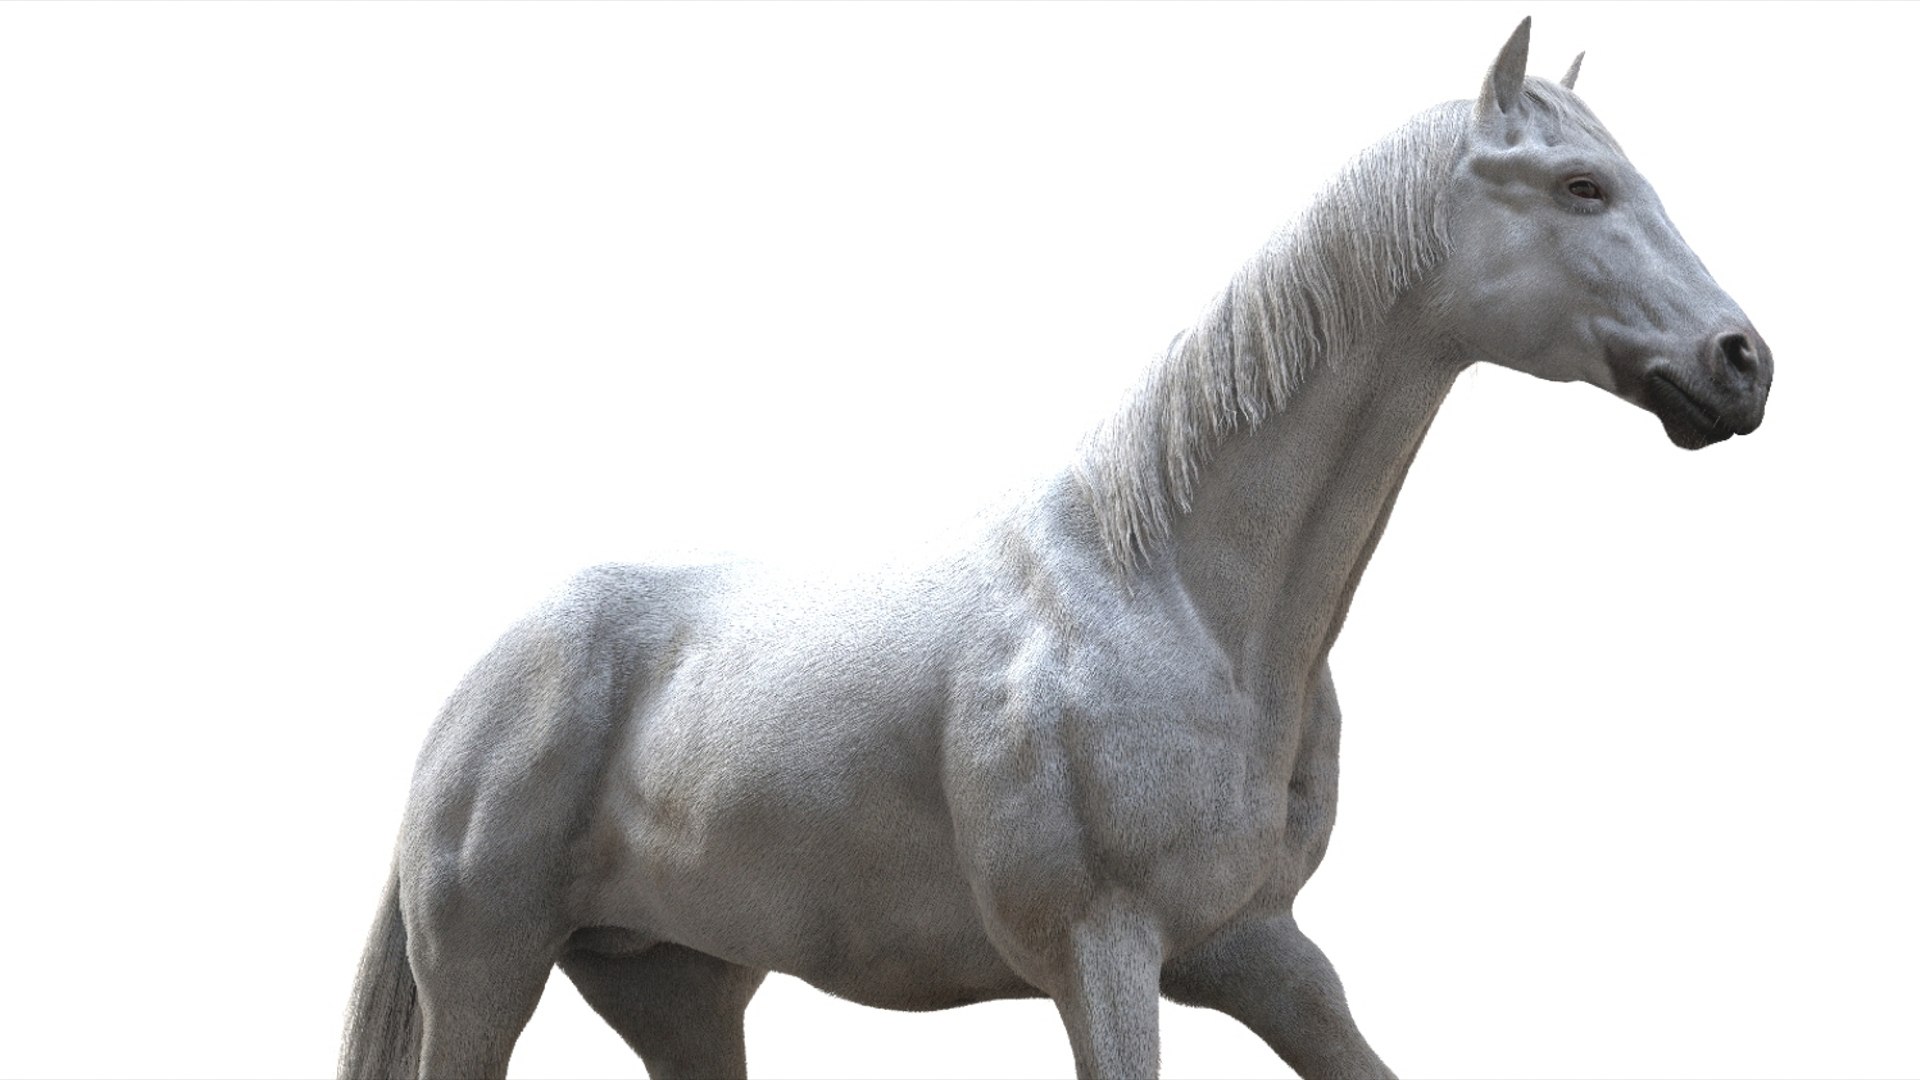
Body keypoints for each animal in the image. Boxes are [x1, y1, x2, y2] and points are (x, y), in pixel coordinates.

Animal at [340, 18, 1772, 1080]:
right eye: (1583, 187)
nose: (1739, 364)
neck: (1185, 602)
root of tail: (484, 685)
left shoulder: (1257, 949)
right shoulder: (1103, 953)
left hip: (678, 989)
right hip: (487, 972)